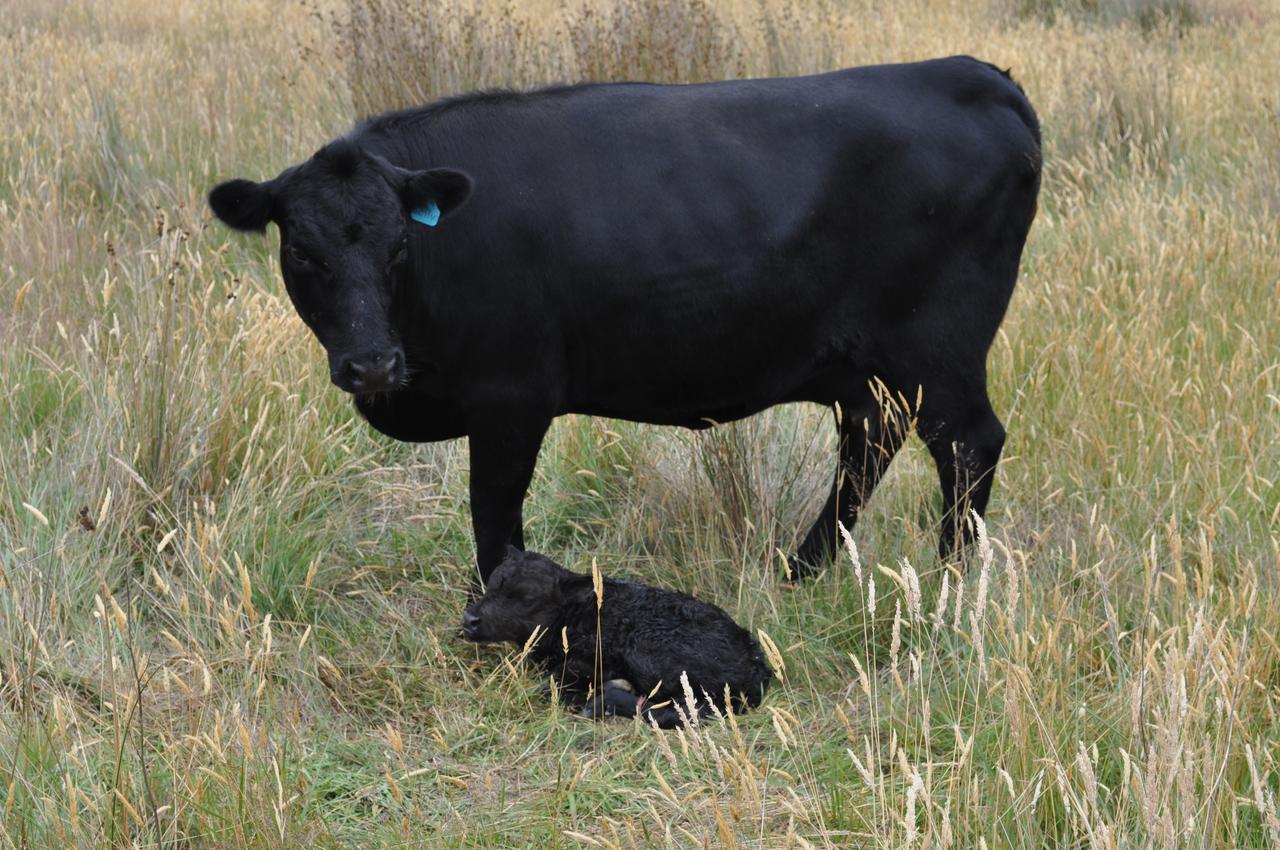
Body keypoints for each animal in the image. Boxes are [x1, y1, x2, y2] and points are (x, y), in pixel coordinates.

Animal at [209, 56, 1044, 581]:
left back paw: (949, 587)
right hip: (865, 365)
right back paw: (802, 571)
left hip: (939, 348)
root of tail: (969, 73)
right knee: (871, 442)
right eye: (303, 252)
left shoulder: (511, 394)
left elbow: (495, 518)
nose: (373, 363)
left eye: (399, 246)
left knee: (967, 445)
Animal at [465, 550, 773, 732]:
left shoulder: (594, 659)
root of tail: (756, 666)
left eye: (527, 598)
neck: (579, 616)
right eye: (489, 585)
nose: (469, 619)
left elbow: (553, 683)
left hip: (649, 653)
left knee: (687, 709)